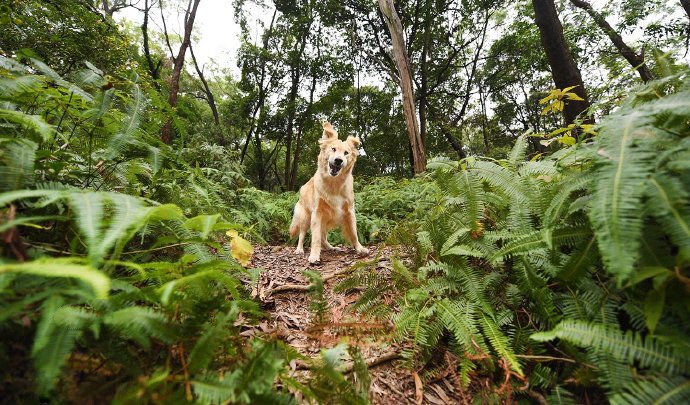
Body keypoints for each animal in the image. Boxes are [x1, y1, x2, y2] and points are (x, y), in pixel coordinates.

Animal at [288, 121, 368, 264]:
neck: (334, 184)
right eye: (333, 149)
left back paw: (331, 247)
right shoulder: (317, 213)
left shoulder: (349, 211)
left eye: (346, 153)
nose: (338, 160)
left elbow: (354, 233)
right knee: (302, 235)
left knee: (323, 237)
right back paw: (300, 249)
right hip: (305, 218)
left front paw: (360, 248)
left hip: (325, 220)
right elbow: (315, 238)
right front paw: (314, 255)